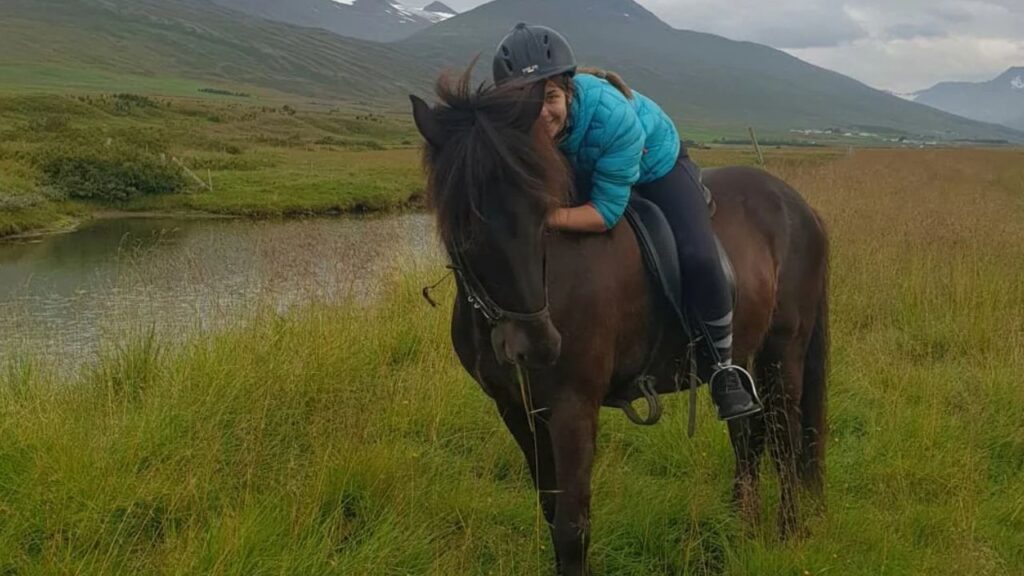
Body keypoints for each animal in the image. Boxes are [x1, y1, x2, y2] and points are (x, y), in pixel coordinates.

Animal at [410, 71, 829, 576]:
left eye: (543, 215)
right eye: (464, 224)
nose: (537, 345)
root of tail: (799, 206)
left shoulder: (572, 408)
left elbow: (572, 526)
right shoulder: (515, 407)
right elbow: (550, 509)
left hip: (783, 353)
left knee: (787, 439)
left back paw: (788, 534)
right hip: (745, 356)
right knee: (749, 435)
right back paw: (740, 528)